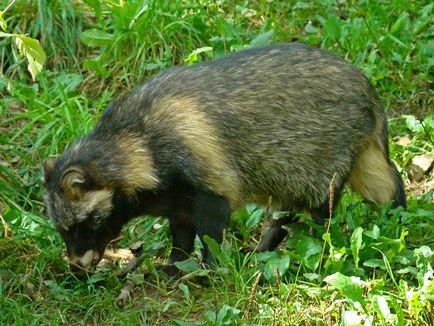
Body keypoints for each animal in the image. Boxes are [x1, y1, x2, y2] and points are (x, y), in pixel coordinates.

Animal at [42, 42, 406, 276]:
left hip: (322, 149)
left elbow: (211, 226)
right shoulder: (174, 195)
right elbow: (181, 228)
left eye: (79, 225)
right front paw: (175, 263)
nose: (75, 265)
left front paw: (208, 267)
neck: (129, 142)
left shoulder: (200, 170)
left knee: (322, 204)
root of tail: (366, 88)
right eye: (61, 229)